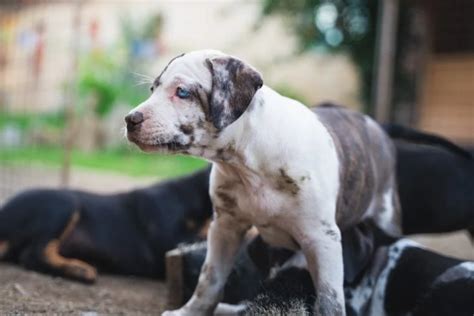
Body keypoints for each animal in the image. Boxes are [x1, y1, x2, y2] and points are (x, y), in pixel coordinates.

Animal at [126, 50, 400, 314]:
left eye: (182, 92)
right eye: (152, 89)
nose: (130, 120)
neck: (246, 166)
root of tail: (373, 124)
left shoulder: (322, 239)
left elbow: (330, 299)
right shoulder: (225, 227)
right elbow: (209, 279)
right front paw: (190, 312)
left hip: (385, 219)